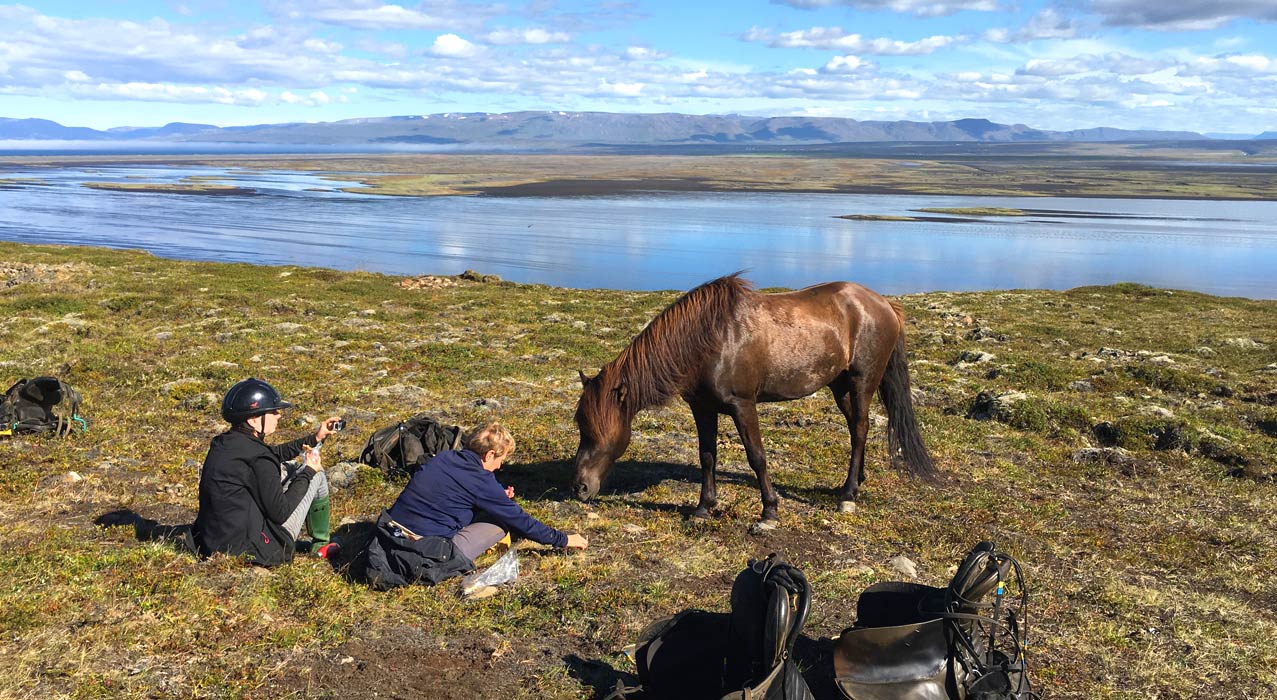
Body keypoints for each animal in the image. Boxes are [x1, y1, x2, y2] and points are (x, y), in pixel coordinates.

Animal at [574, 273, 934, 526]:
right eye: (581, 426)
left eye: (595, 431)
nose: (579, 488)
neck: (708, 340)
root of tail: (884, 304)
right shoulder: (702, 408)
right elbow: (707, 456)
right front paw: (703, 508)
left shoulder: (742, 405)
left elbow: (756, 457)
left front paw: (769, 512)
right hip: (840, 386)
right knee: (857, 429)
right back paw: (855, 482)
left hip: (861, 383)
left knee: (859, 429)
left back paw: (848, 496)